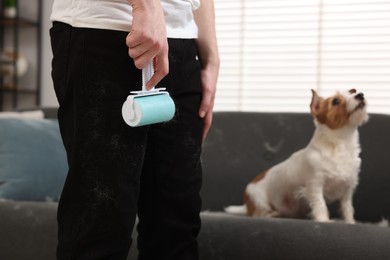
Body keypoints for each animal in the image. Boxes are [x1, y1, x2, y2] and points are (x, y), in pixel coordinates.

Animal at [225, 89, 368, 223]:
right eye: (336, 101)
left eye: (353, 91)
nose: (360, 95)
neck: (340, 144)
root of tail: (246, 205)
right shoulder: (315, 185)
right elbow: (320, 205)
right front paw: (324, 220)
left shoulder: (348, 188)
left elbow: (347, 207)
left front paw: (350, 222)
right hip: (259, 200)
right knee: (258, 213)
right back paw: (272, 214)